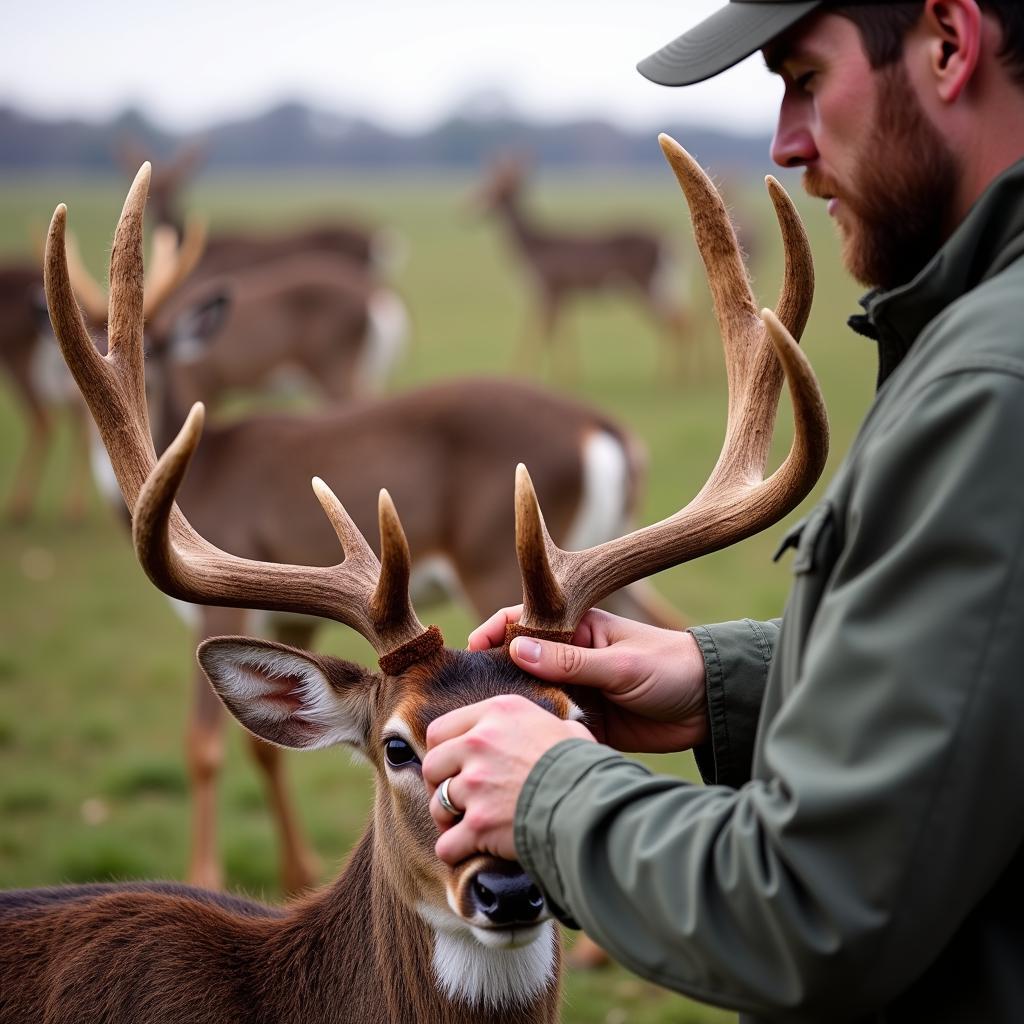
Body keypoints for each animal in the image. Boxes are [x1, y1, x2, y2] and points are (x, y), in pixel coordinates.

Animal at [471, 151, 696, 376]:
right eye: (487, 182)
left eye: (498, 187)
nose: (471, 206)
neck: (532, 247)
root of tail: (671, 242)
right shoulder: (562, 292)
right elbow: (559, 332)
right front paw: (567, 374)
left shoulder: (548, 286)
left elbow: (538, 331)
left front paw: (526, 372)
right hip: (660, 282)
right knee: (679, 318)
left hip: (644, 281)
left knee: (674, 321)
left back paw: (670, 375)